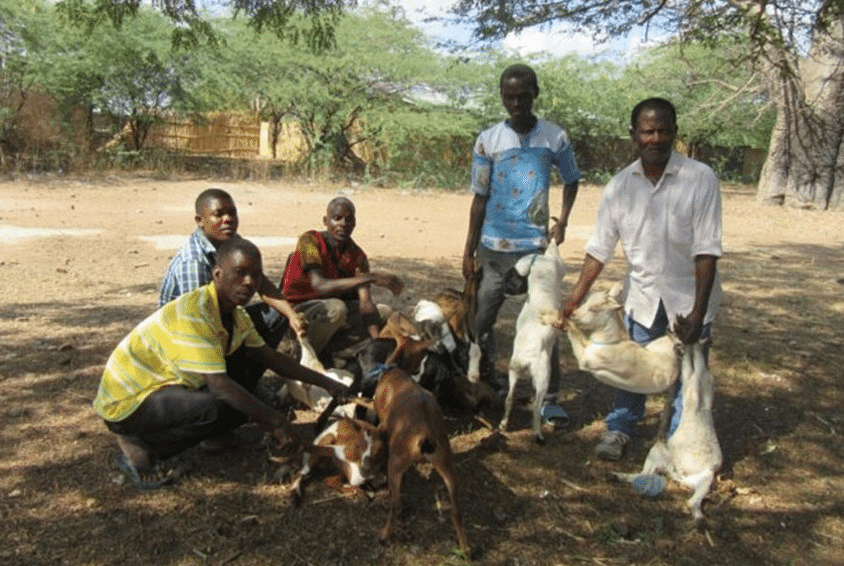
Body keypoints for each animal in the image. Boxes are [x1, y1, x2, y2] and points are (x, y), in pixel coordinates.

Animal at [502, 244, 568, 444]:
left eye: (508, 280)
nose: (503, 292)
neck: (534, 265)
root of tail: (526, 357)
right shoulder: (558, 264)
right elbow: (555, 251)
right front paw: (553, 240)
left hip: (513, 373)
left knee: (509, 398)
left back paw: (504, 424)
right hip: (543, 378)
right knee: (536, 410)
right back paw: (538, 434)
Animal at [612, 342, 724, 524]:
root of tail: (676, 471)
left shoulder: (694, 378)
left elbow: (690, 364)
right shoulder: (698, 380)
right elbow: (692, 361)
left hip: (698, 473)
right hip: (680, 466)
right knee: (643, 475)